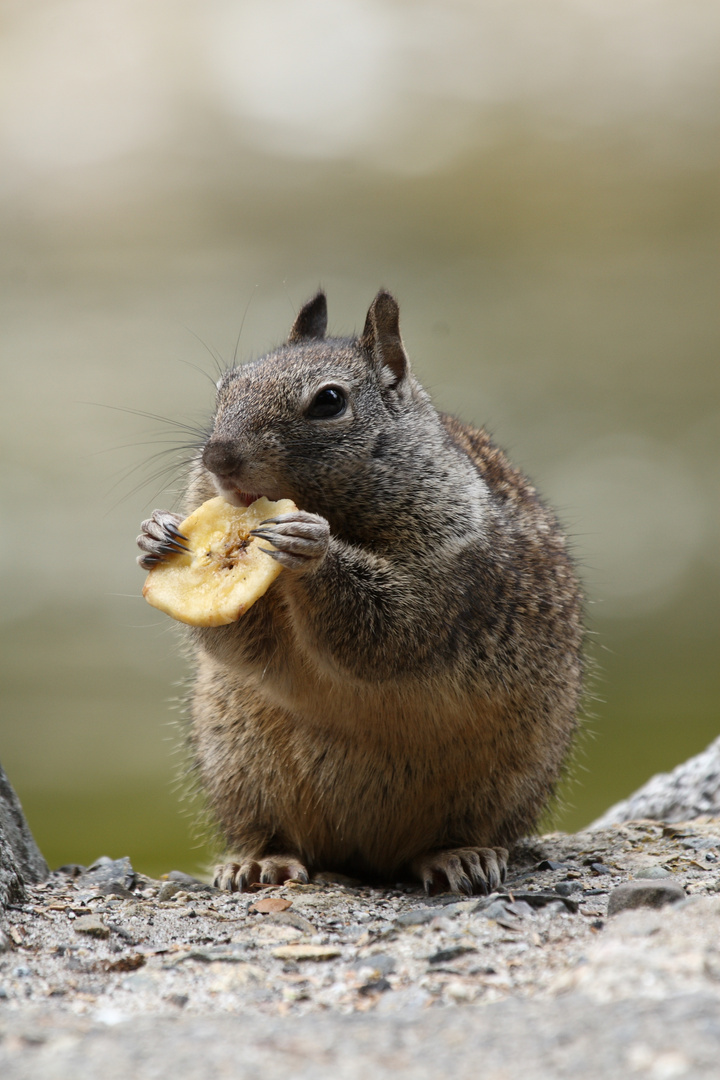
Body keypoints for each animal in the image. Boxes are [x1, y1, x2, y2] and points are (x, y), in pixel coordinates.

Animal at [136, 289, 587, 894]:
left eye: (329, 402)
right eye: (224, 387)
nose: (218, 458)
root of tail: (363, 857)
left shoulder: (448, 573)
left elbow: (391, 628)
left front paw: (312, 547)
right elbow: (237, 643)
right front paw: (155, 534)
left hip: (502, 783)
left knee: (454, 838)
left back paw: (459, 856)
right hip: (240, 768)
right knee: (275, 835)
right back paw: (260, 861)